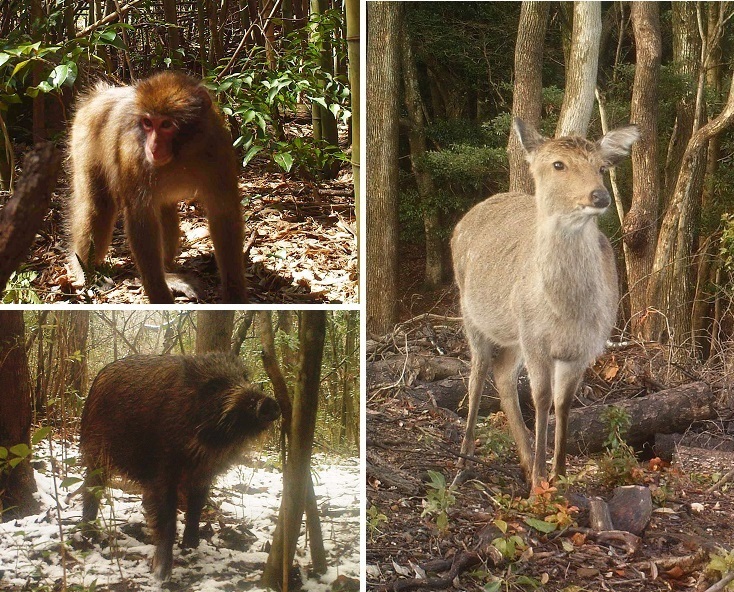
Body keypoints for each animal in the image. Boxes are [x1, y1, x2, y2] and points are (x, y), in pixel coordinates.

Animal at [69, 71, 247, 302]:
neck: (181, 154)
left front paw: (235, 296)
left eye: (166, 125)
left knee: (165, 212)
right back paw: (86, 273)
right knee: (98, 206)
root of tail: (100, 94)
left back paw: (169, 274)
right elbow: (141, 219)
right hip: (84, 138)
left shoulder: (218, 148)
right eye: (147, 122)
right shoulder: (134, 156)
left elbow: (223, 214)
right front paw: (160, 297)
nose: (152, 147)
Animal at [452, 118, 640, 488]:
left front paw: (560, 475)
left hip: (513, 334)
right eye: (558, 164)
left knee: (502, 374)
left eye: (602, 167)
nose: (600, 195)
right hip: (473, 314)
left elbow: (563, 403)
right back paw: (464, 464)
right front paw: (541, 481)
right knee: (477, 374)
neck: (566, 310)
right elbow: (540, 399)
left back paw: (524, 460)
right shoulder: (535, 339)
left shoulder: (585, 347)